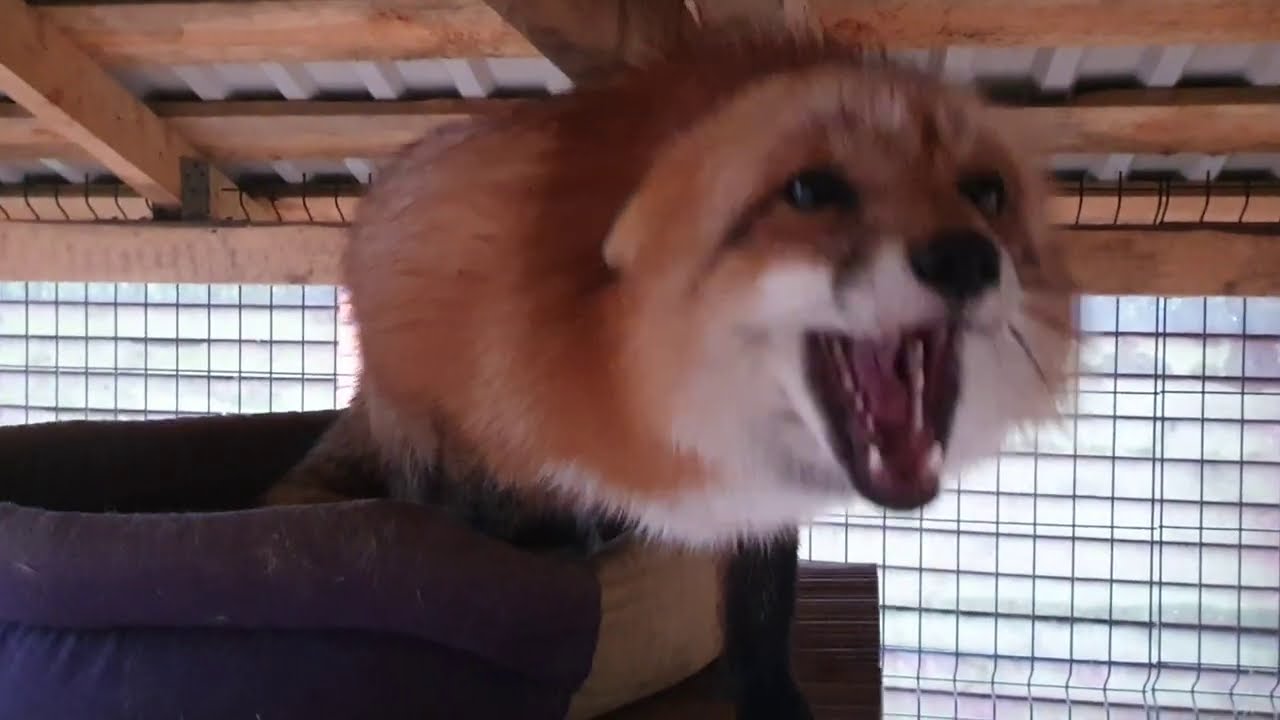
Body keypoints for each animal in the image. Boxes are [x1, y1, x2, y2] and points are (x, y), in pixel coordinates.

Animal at [261, 27, 1078, 720]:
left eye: (988, 192)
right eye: (811, 190)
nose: (967, 259)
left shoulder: (758, 508)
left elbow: (761, 611)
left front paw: (772, 701)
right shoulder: (471, 440)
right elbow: (477, 555)